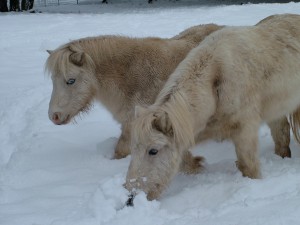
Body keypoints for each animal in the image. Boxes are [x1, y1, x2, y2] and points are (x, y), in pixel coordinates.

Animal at [125, 13, 300, 200]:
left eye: (153, 151)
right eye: (132, 149)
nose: (131, 197)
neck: (216, 83)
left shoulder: (245, 131)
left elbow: (250, 168)